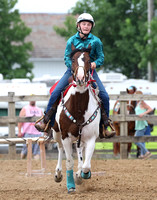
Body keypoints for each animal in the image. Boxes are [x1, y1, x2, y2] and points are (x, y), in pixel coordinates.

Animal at [51, 44, 100, 194]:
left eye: (89, 60)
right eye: (72, 59)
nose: (80, 78)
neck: (78, 108)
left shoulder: (91, 138)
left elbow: (86, 165)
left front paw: (81, 175)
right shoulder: (66, 136)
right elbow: (69, 162)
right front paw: (71, 186)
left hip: (80, 138)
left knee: (79, 151)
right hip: (57, 133)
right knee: (60, 149)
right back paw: (58, 174)